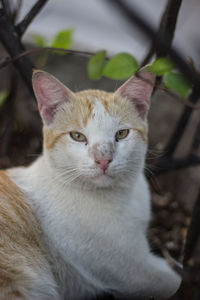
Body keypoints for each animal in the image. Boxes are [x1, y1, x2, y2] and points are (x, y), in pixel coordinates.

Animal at [0, 69, 180, 298]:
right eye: (77, 136)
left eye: (121, 134)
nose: (103, 159)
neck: (122, 196)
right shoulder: (136, 272)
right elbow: (174, 280)